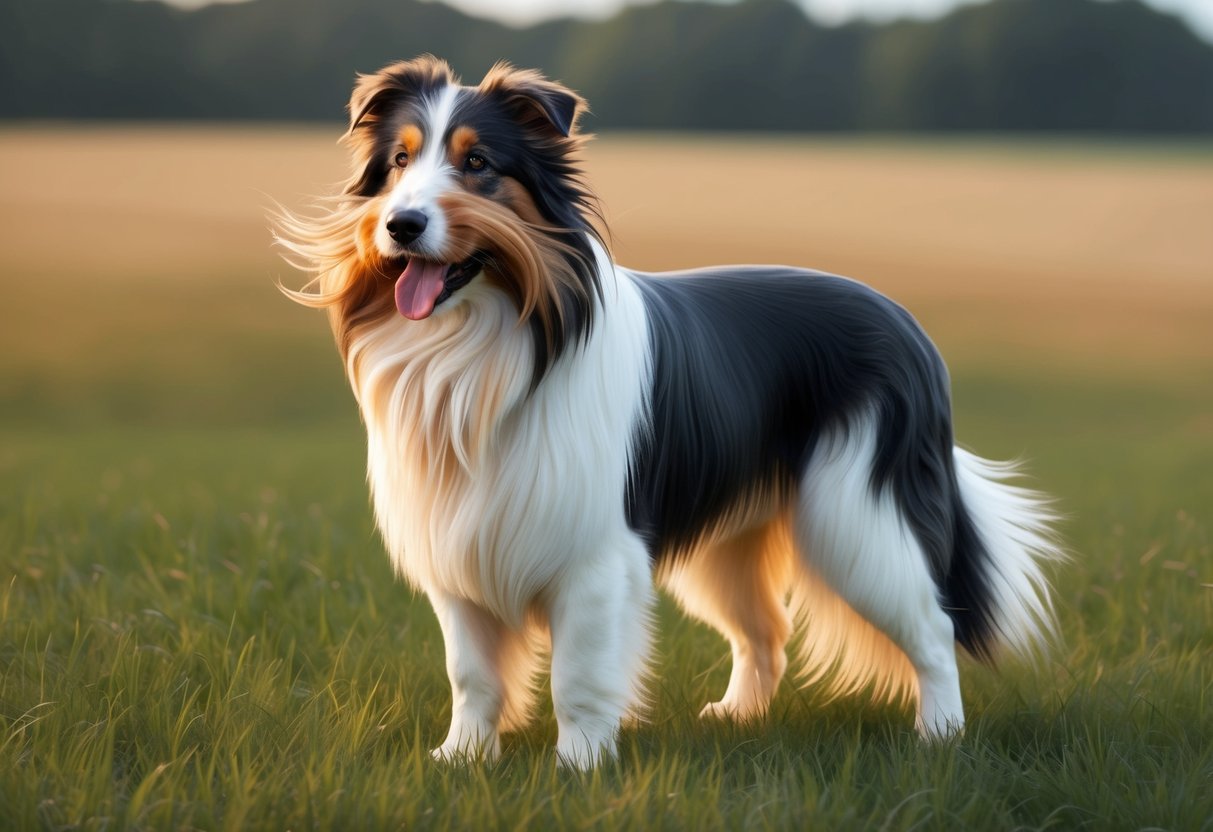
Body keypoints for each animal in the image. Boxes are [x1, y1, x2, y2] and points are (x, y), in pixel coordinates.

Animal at [275, 55, 1062, 771]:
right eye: (400, 162)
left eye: (477, 164)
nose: (401, 225)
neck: (490, 340)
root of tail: (910, 330)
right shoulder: (459, 546)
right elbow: (471, 673)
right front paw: (461, 759)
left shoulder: (594, 553)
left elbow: (578, 674)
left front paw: (579, 767)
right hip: (732, 544)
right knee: (764, 632)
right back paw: (737, 717)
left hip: (860, 516)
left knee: (933, 627)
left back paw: (940, 738)